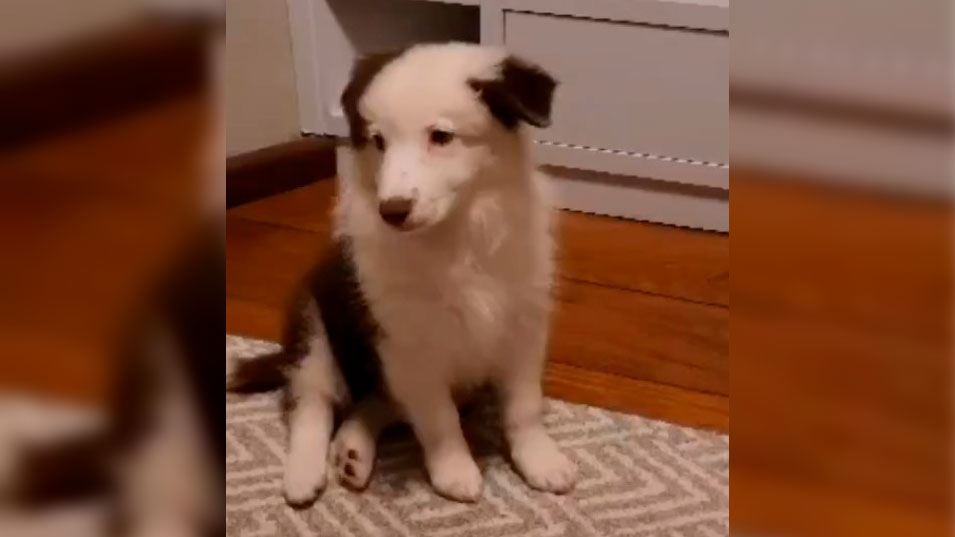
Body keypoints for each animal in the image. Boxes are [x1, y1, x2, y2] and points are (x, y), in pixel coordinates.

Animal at [228, 44, 580, 504]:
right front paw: (454, 470)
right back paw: (303, 474)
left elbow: (523, 406)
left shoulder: (522, 323)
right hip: (315, 325)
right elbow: (437, 417)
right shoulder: (407, 343)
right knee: (312, 403)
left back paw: (352, 453)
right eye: (379, 141)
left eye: (441, 136)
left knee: (373, 403)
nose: (392, 210)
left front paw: (540, 460)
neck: (454, 236)